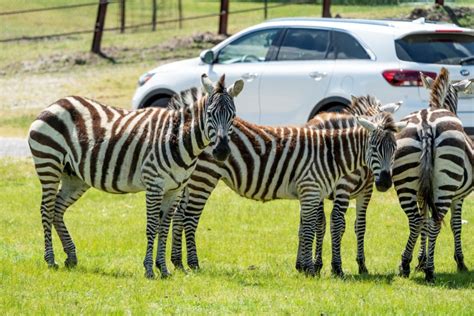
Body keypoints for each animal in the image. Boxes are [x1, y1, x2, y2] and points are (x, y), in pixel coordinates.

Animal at [27, 73, 243, 278]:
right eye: (210, 114)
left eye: (233, 116)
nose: (222, 151)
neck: (178, 138)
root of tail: (58, 102)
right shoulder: (154, 184)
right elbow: (152, 226)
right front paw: (149, 269)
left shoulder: (174, 190)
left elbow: (164, 228)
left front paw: (163, 269)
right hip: (49, 163)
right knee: (46, 209)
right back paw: (50, 259)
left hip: (74, 177)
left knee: (57, 209)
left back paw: (71, 257)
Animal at [392, 67, 474, 282]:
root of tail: (426, 123)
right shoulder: (459, 196)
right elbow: (455, 225)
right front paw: (460, 262)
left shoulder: (423, 192)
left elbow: (423, 221)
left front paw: (419, 259)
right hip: (445, 185)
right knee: (435, 223)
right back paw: (430, 270)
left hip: (405, 181)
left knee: (416, 221)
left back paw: (405, 264)